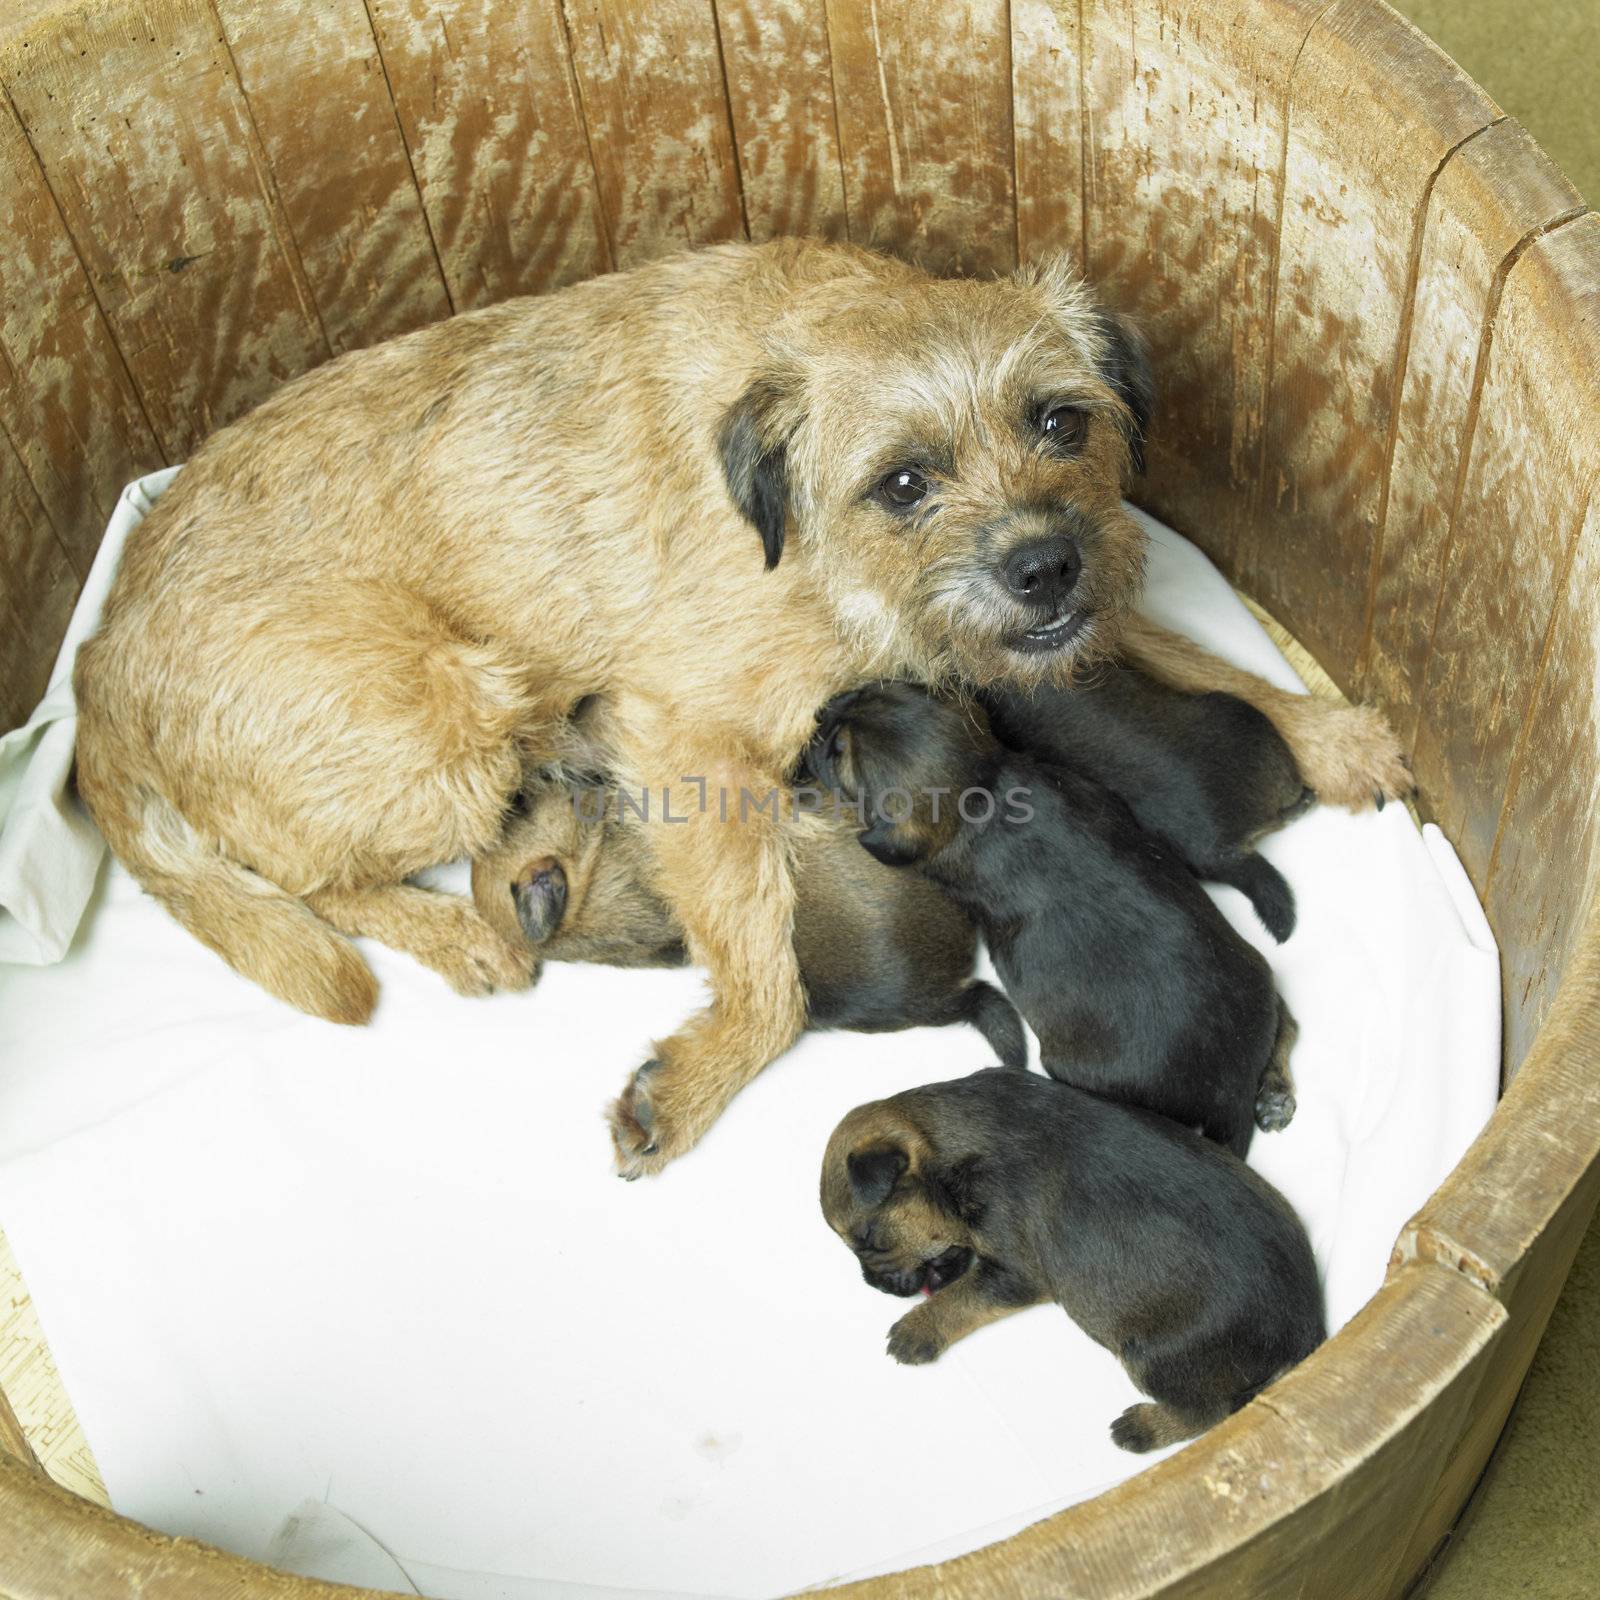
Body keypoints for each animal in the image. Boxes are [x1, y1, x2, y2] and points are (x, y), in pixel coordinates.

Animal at [812, 681, 1299, 1158]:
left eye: (838, 752)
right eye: (867, 691)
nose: (821, 713)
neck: (984, 792)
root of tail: (1229, 1087)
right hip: (1256, 970)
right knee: (1285, 1021)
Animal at [825, 1068, 1324, 1459]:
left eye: (868, 1239)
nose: (874, 1285)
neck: (949, 1140)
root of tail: (1305, 1328)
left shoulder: (1015, 1271)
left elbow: (961, 1299)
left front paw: (914, 1330)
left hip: (1151, 1355)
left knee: (1210, 1412)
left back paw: (1141, 1428)